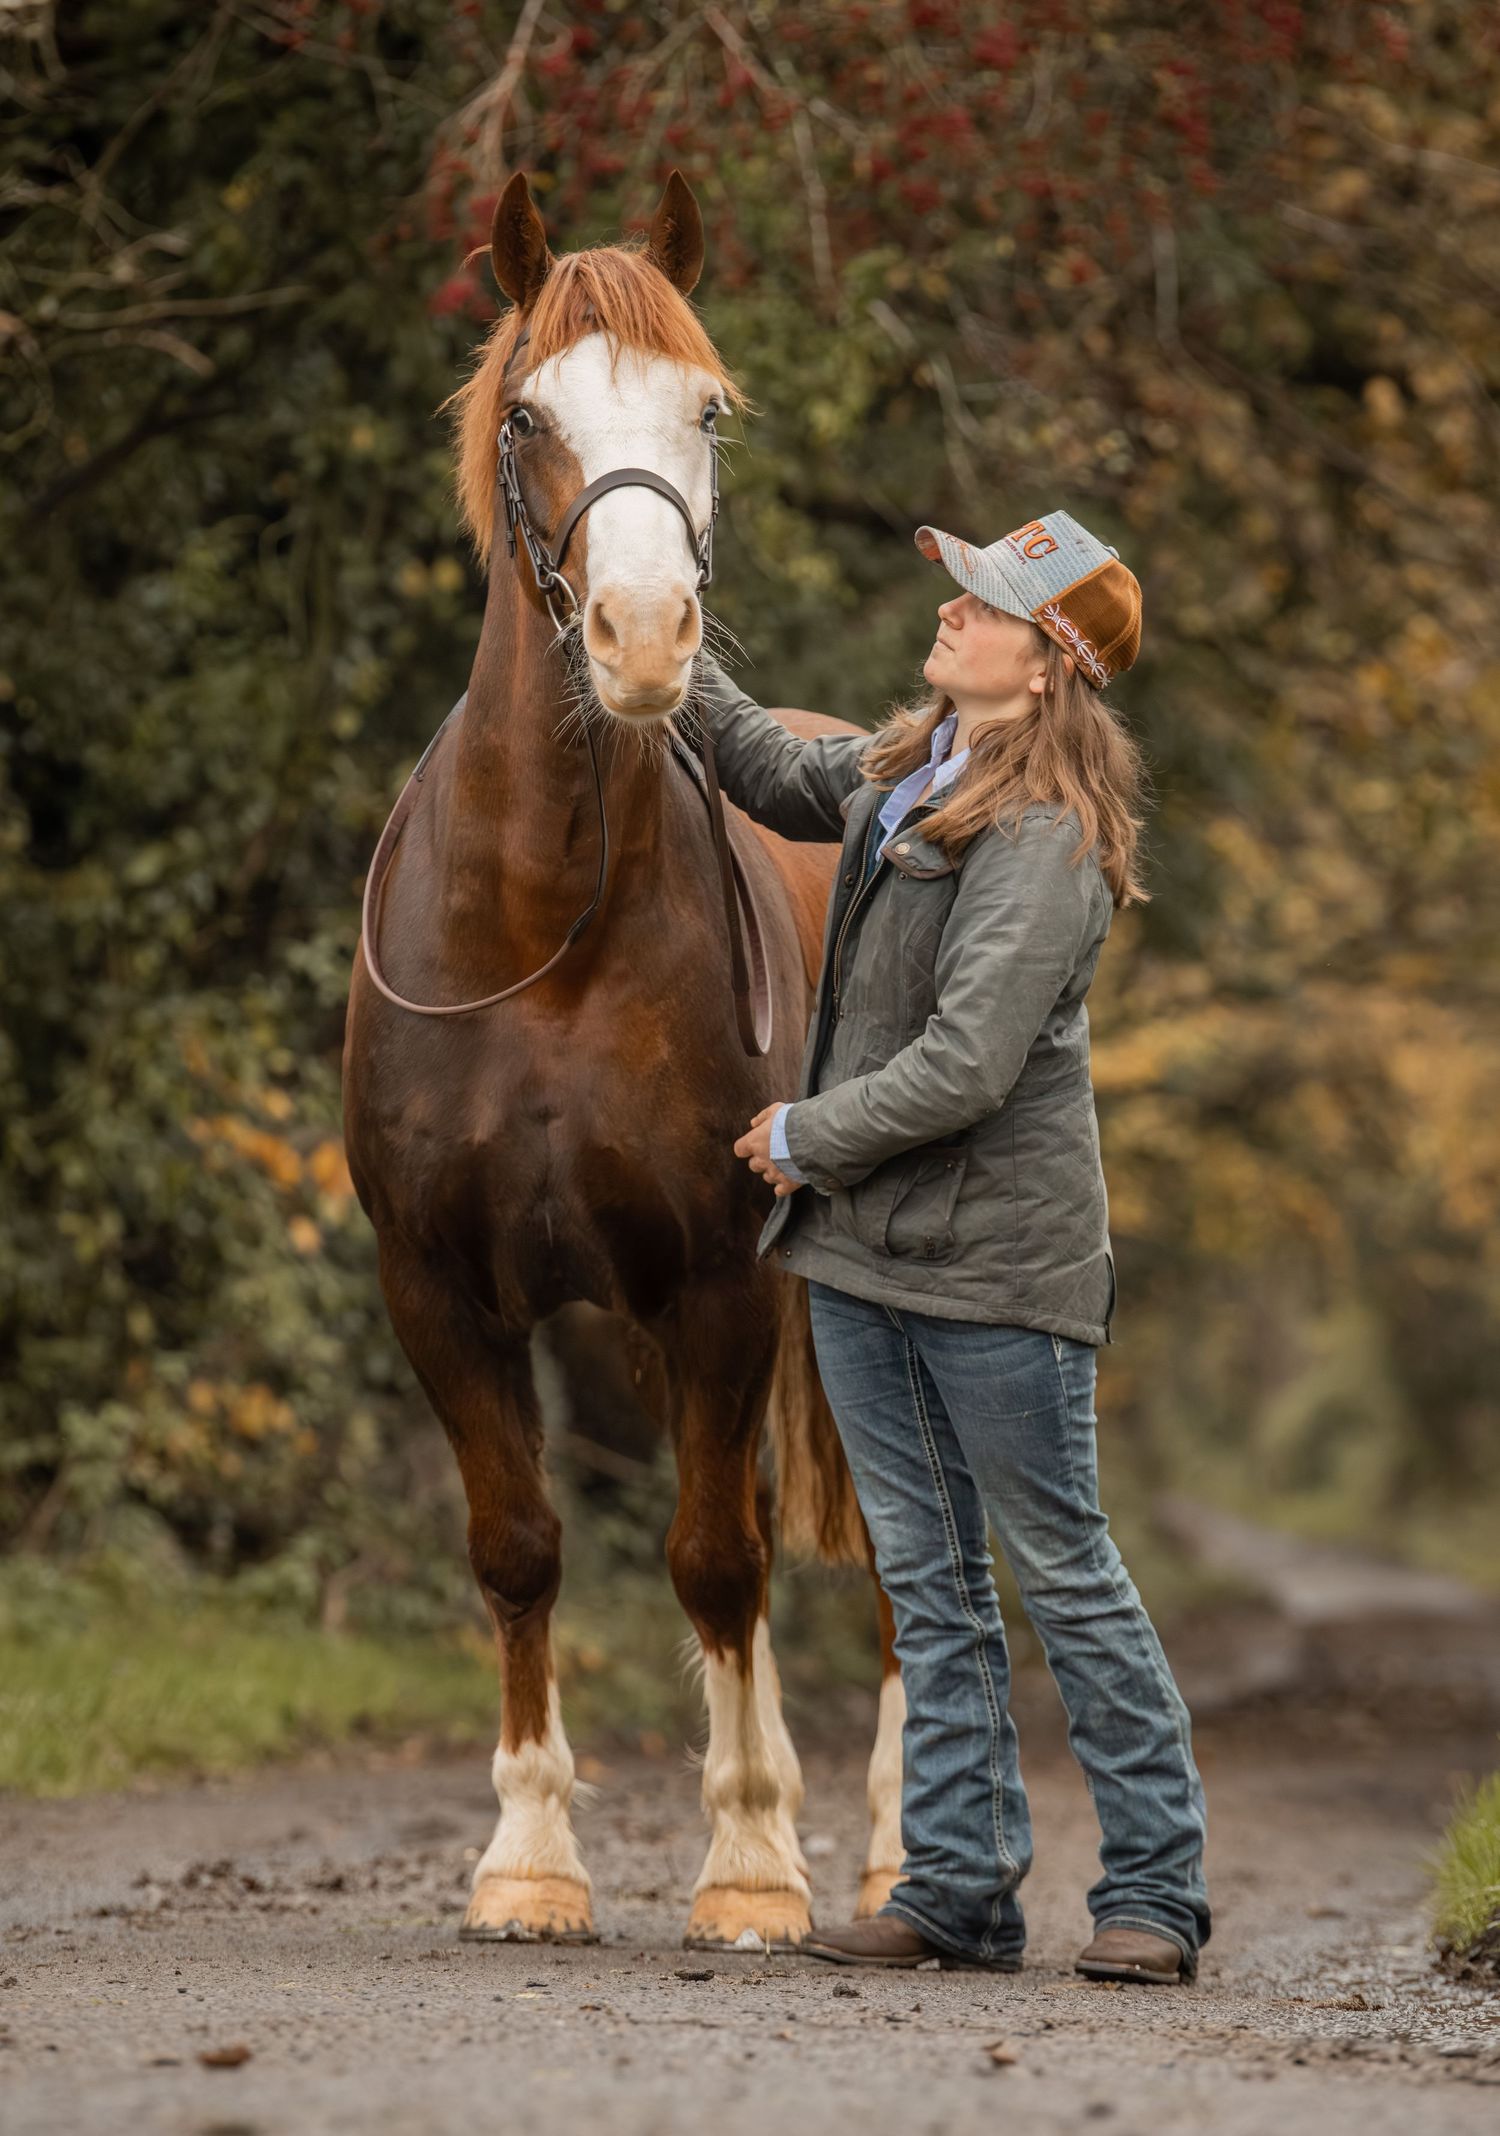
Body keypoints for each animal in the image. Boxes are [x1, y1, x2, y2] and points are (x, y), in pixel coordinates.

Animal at [342, 171, 904, 1949]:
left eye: (704, 409)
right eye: (531, 415)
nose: (648, 637)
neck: (544, 931)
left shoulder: (719, 1286)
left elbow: (716, 1560)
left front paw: (749, 1871)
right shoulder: (441, 1289)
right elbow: (521, 1547)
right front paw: (528, 1861)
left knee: (881, 1560)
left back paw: (880, 1854)